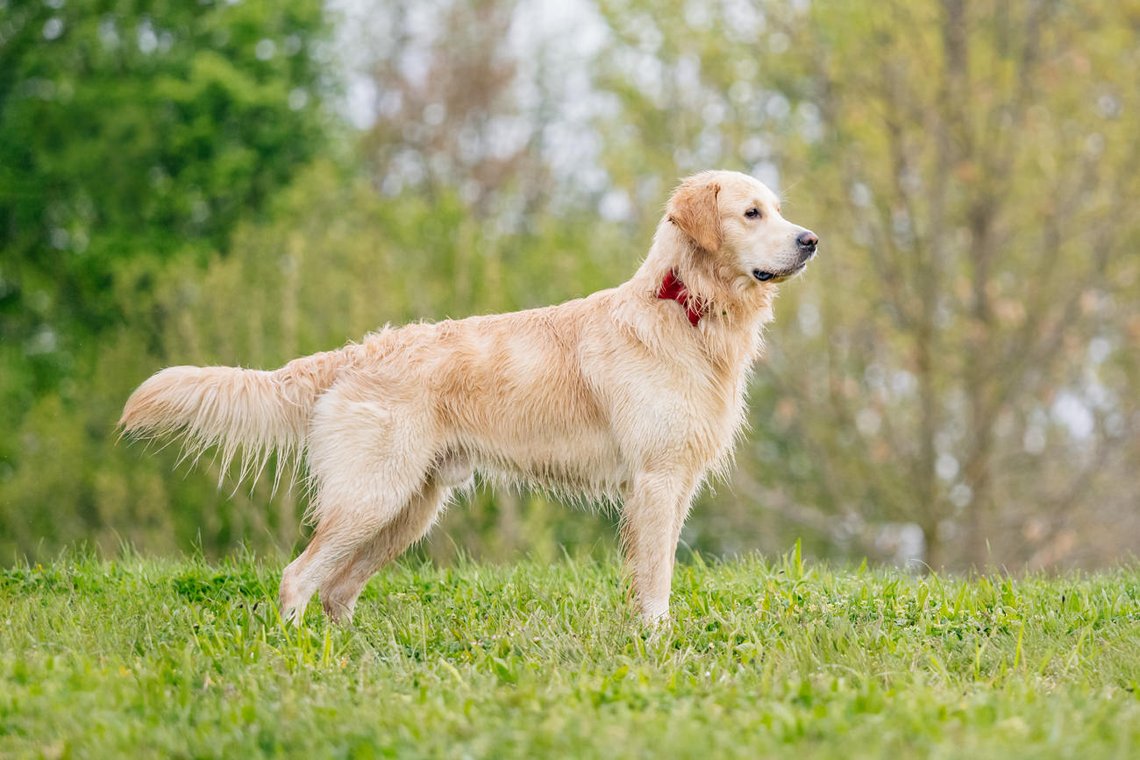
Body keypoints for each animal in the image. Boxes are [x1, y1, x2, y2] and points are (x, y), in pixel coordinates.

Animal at [120, 170, 820, 624]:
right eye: (751, 213)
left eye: (776, 208)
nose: (810, 240)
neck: (688, 309)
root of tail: (354, 354)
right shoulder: (655, 479)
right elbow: (653, 582)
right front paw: (655, 646)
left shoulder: (675, 482)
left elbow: (661, 575)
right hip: (372, 497)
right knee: (298, 579)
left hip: (407, 509)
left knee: (336, 592)